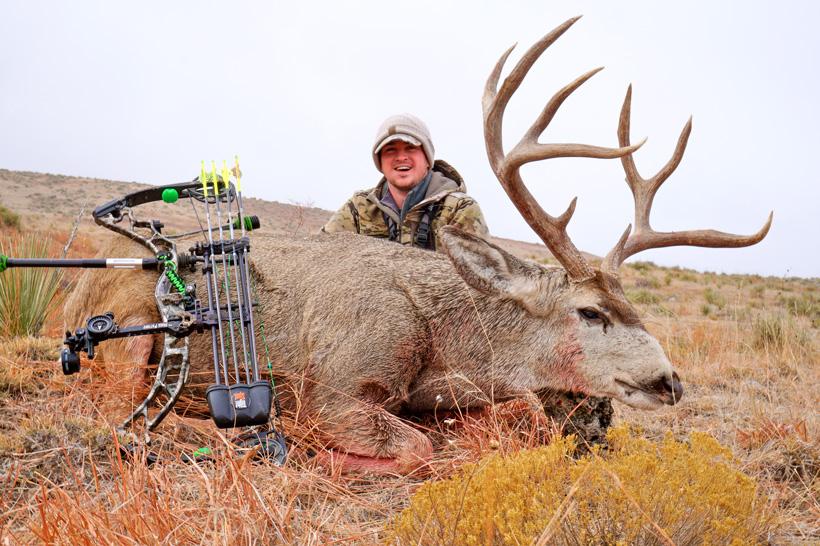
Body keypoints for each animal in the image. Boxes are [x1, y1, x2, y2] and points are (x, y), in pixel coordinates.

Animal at [64, 16, 771, 474]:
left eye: (638, 312)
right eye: (590, 312)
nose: (669, 381)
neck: (442, 336)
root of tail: (73, 297)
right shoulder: (337, 386)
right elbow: (416, 448)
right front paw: (317, 447)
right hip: (128, 338)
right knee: (109, 405)